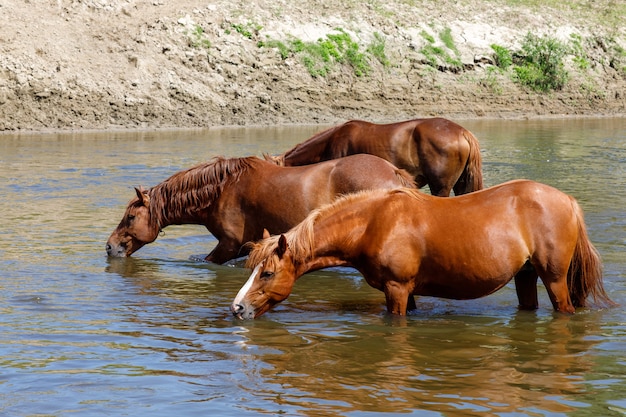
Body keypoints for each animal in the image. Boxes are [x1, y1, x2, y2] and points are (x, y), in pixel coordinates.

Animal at [232, 180, 612, 318]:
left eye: (267, 273)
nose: (237, 308)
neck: (374, 222)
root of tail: (568, 201)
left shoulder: (397, 289)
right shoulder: (407, 291)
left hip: (555, 279)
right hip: (526, 276)